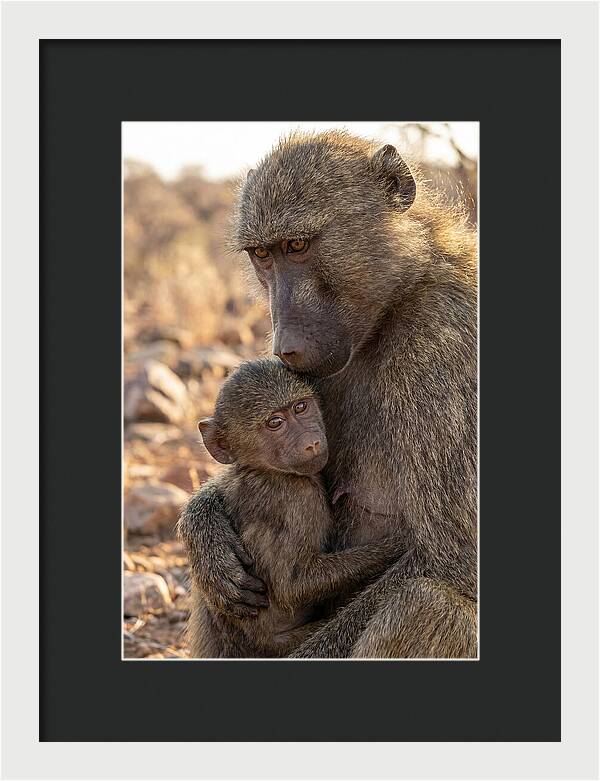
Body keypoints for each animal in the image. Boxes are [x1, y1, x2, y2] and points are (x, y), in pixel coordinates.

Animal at [179, 357, 406, 658]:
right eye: (275, 423)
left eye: (301, 407)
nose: (312, 443)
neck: (264, 470)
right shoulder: (298, 499)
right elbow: (293, 586)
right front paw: (399, 545)